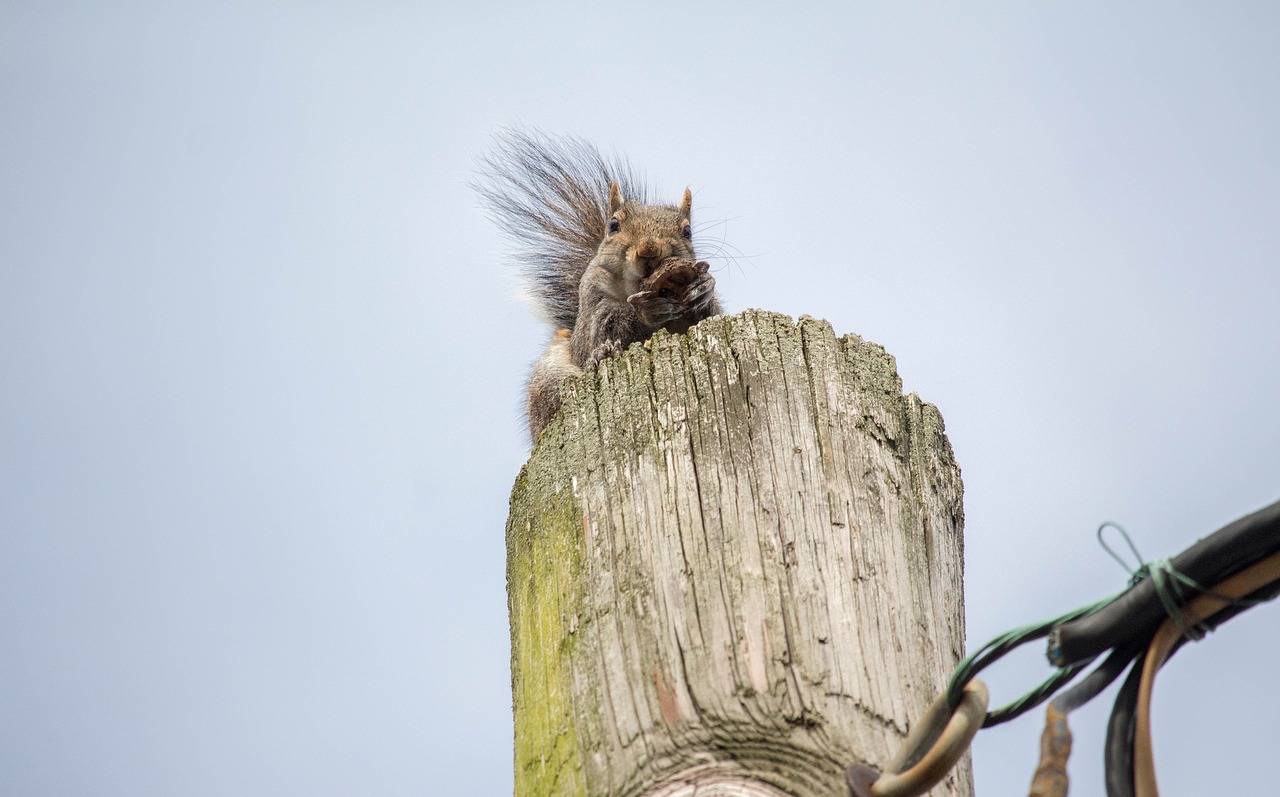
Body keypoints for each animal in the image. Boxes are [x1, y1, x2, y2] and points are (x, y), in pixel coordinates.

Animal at [478, 127, 727, 445]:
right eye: (613, 225)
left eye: (688, 231)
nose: (648, 251)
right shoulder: (592, 302)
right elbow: (602, 327)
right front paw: (646, 312)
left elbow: (707, 317)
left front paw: (703, 290)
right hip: (549, 382)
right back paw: (603, 355)